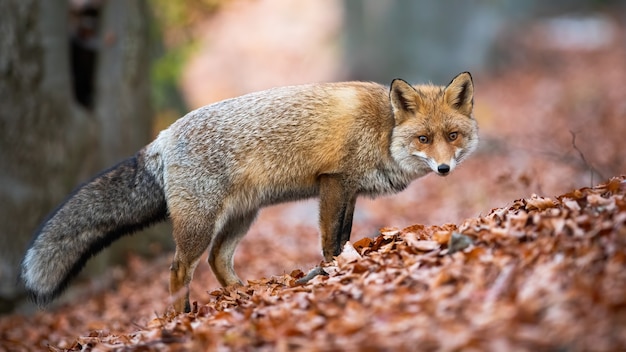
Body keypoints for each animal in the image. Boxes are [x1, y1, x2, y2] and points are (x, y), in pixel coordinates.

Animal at [20, 71, 478, 310]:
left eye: (452, 136)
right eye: (423, 139)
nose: (443, 168)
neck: (382, 128)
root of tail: (162, 137)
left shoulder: (350, 190)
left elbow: (345, 235)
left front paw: (342, 265)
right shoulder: (334, 182)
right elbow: (331, 241)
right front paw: (333, 270)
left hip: (242, 217)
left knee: (217, 261)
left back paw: (243, 294)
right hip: (200, 224)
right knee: (179, 269)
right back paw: (179, 317)